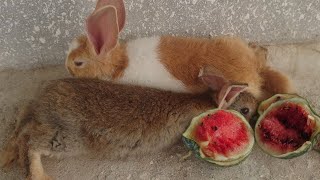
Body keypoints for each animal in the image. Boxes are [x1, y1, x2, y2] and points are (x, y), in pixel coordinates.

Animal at [0, 77, 258, 180]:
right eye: (245, 110)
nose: (255, 119)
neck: (207, 105)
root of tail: (43, 99)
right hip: (66, 137)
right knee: (30, 143)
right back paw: (40, 175)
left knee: (20, 131)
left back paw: (6, 157)